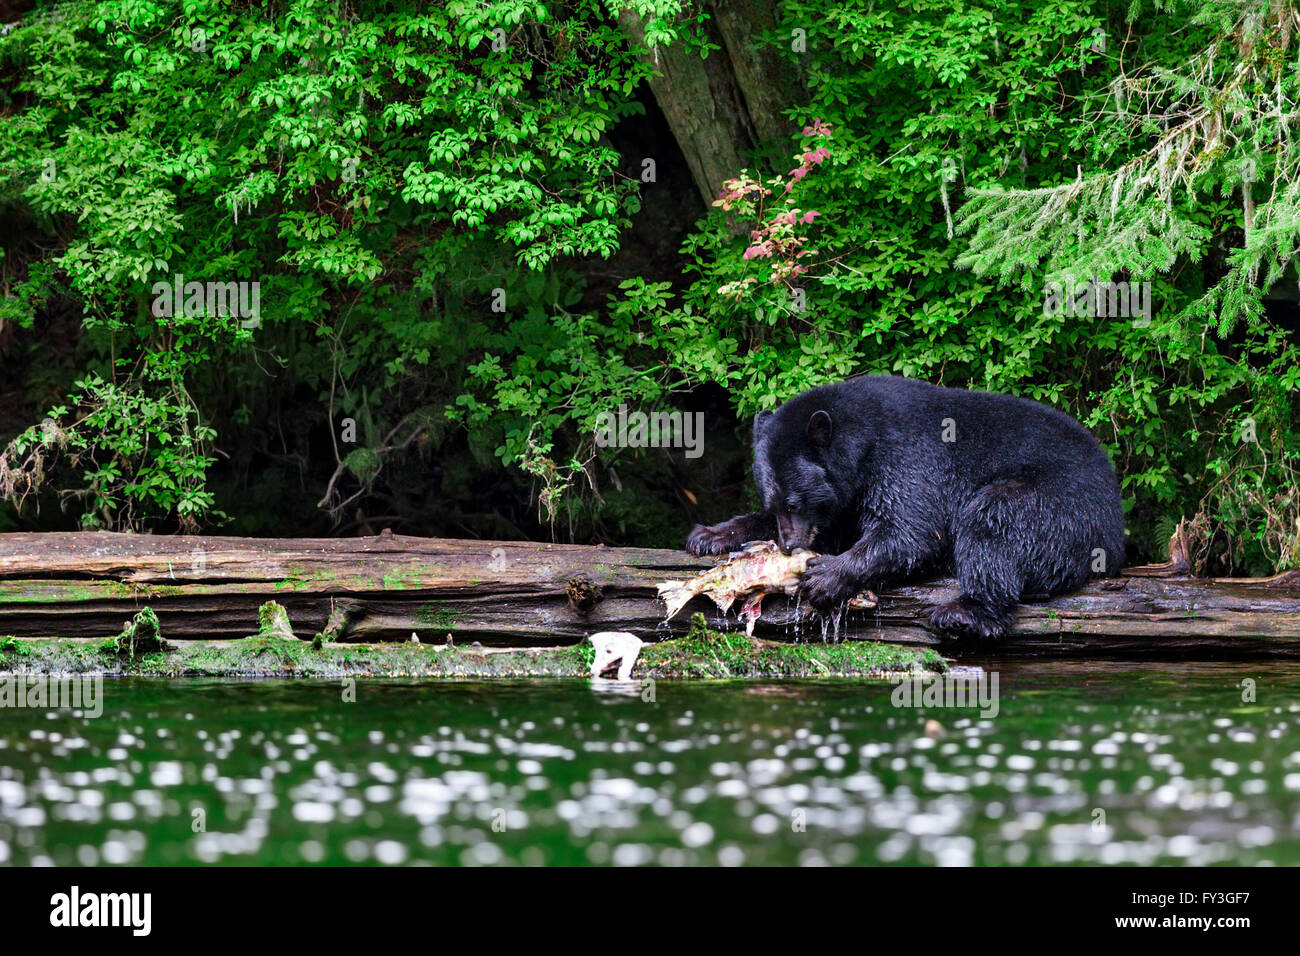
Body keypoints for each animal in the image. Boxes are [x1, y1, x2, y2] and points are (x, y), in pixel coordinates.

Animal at [686, 377, 1123, 639]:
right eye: (773, 501)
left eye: (796, 501)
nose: (790, 545)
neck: (861, 444)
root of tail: (1115, 530)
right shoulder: (847, 497)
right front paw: (709, 535)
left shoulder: (904, 455)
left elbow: (911, 531)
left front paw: (825, 576)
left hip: (1059, 506)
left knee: (994, 518)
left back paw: (965, 613)